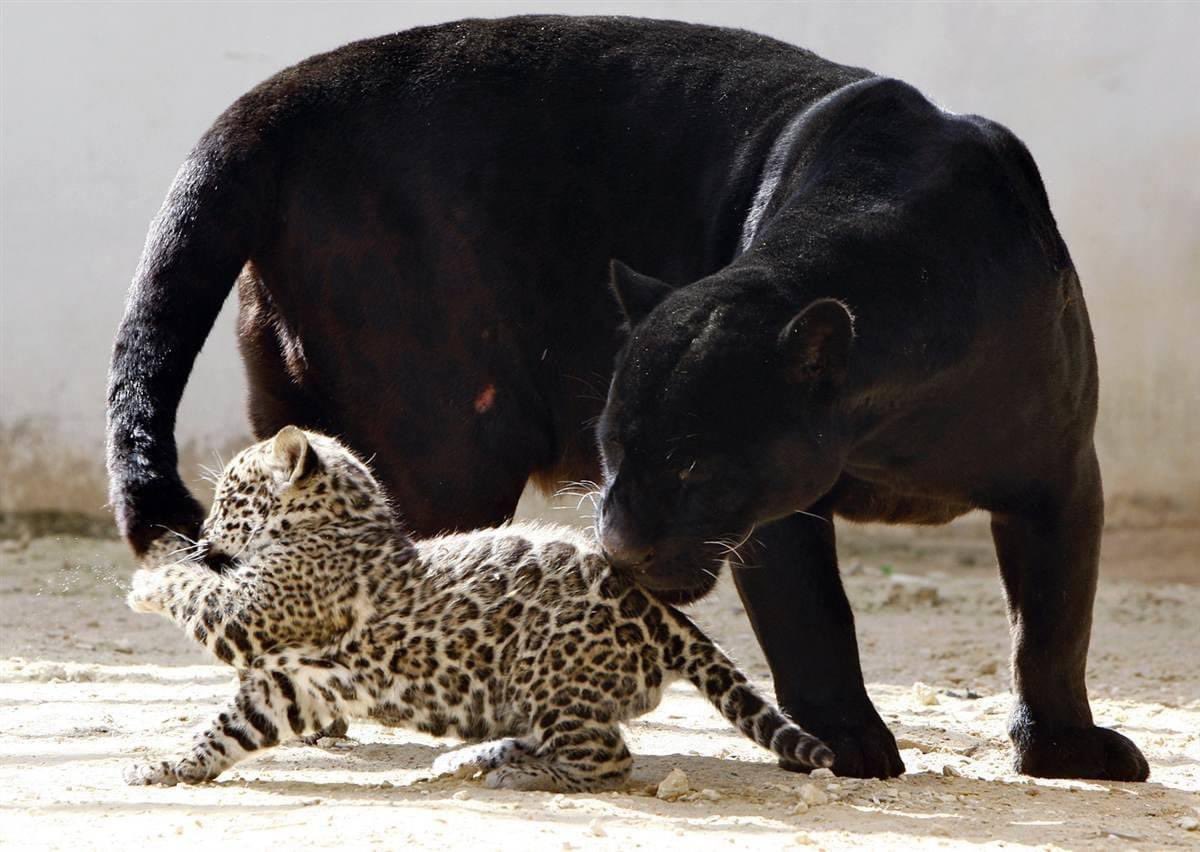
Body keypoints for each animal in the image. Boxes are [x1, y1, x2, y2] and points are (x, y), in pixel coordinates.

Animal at [123, 426, 834, 792]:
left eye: (230, 497)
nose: (204, 532)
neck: (337, 523)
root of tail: (660, 612)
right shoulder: (292, 683)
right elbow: (229, 729)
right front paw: (172, 767)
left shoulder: (259, 611)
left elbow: (200, 592)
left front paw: (151, 578)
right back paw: (471, 759)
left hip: (551, 678)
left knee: (608, 761)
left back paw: (516, 776)